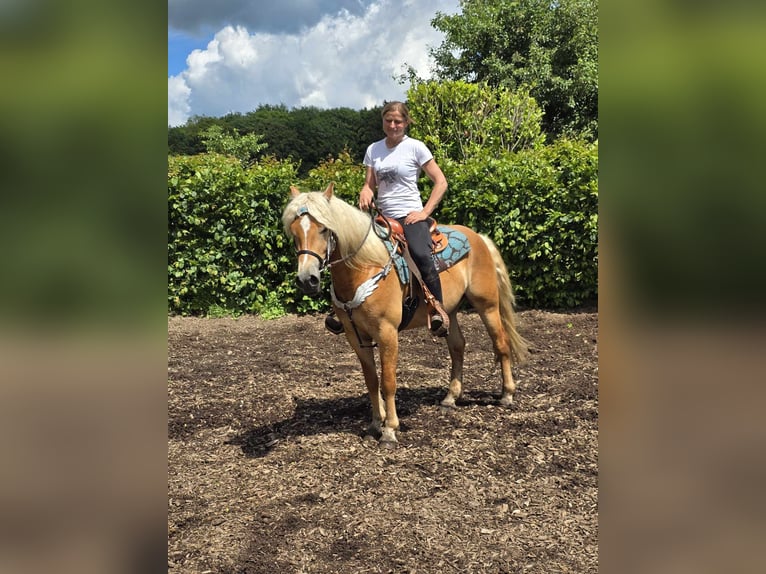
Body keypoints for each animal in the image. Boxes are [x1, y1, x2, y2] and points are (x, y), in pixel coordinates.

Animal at [282, 184, 528, 450]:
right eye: (294, 232)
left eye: (324, 228)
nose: (307, 280)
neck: (365, 266)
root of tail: (478, 237)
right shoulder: (355, 335)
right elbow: (371, 380)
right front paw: (374, 425)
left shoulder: (387, 332)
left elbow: (388, 381)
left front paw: (390, 431)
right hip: (449, 312)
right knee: (457, 346)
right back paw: (450, 398)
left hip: (487, 305)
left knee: (501, 343)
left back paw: (507, 394)